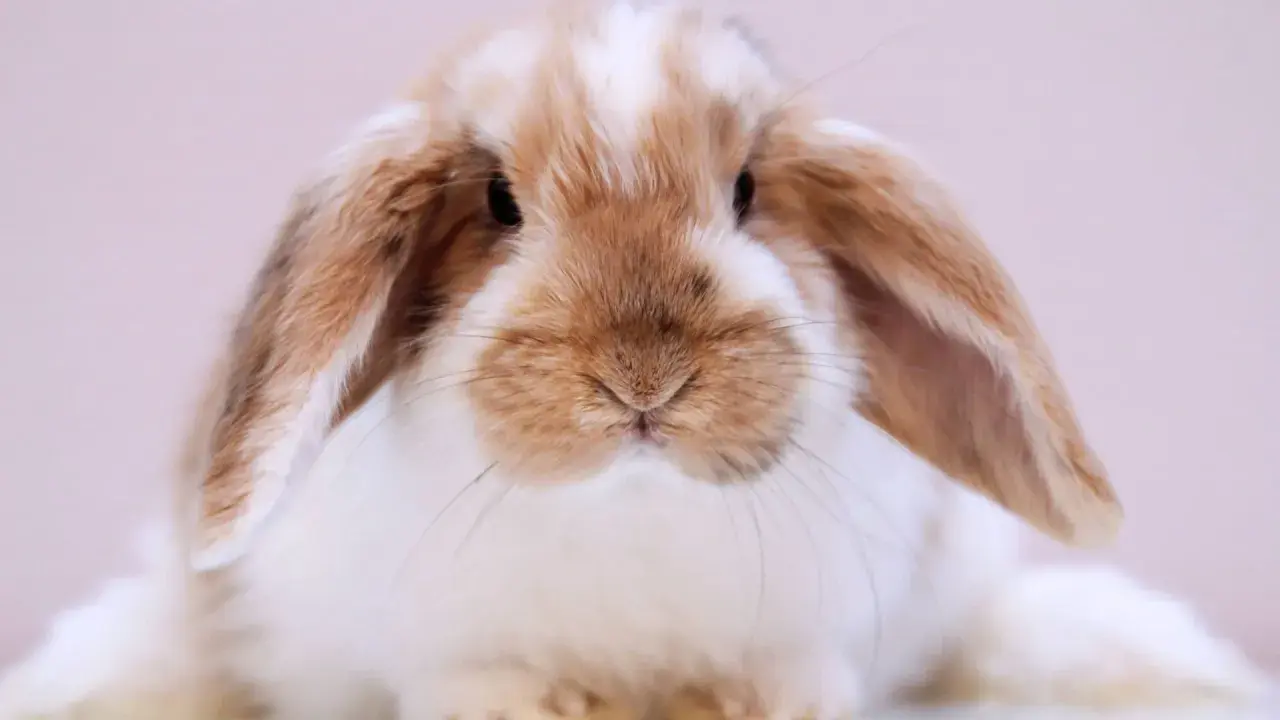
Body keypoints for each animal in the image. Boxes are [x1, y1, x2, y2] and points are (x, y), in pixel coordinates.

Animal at [0, 2, 1270, 719]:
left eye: (746, 191)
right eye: (498, 203)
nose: (641, 376)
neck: (633, 503)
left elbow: (802, 678)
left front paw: (754, 702)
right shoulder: (433, 647)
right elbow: (469, 687)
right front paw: (544, 708)